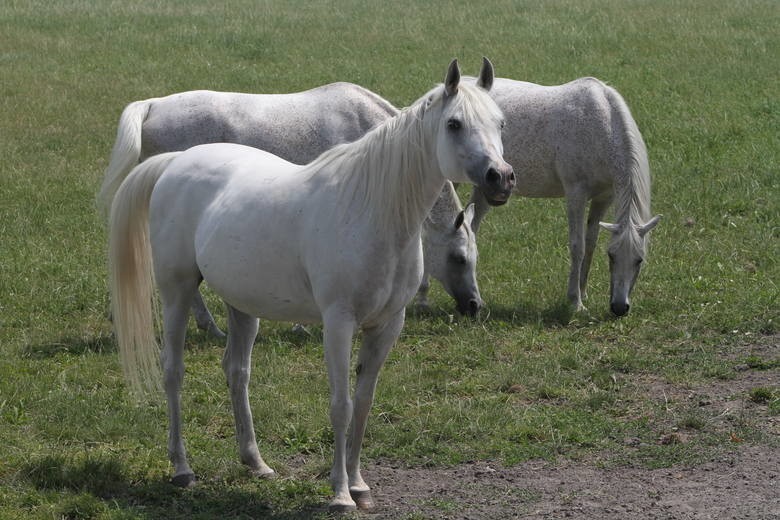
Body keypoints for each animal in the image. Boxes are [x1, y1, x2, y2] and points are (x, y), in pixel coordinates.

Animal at [466, 75, 660, 314]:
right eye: (612, 256)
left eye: (639, 260)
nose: (619, 307)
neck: (601, 126)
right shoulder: (576, 193)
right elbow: (578, 245)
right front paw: (575, 301)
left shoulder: (604, 197)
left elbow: (591, 242)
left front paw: (583, 292)